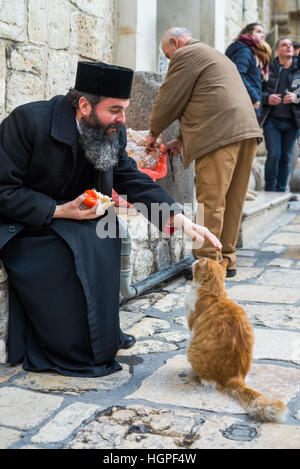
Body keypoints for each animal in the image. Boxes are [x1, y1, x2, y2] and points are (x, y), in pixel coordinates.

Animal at [185, 258, 286, 422]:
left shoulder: (191, 324)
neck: (214, 295)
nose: (195, 259)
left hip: (192, 351)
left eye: (200, 261)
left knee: (207, 381)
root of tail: (235, 376)